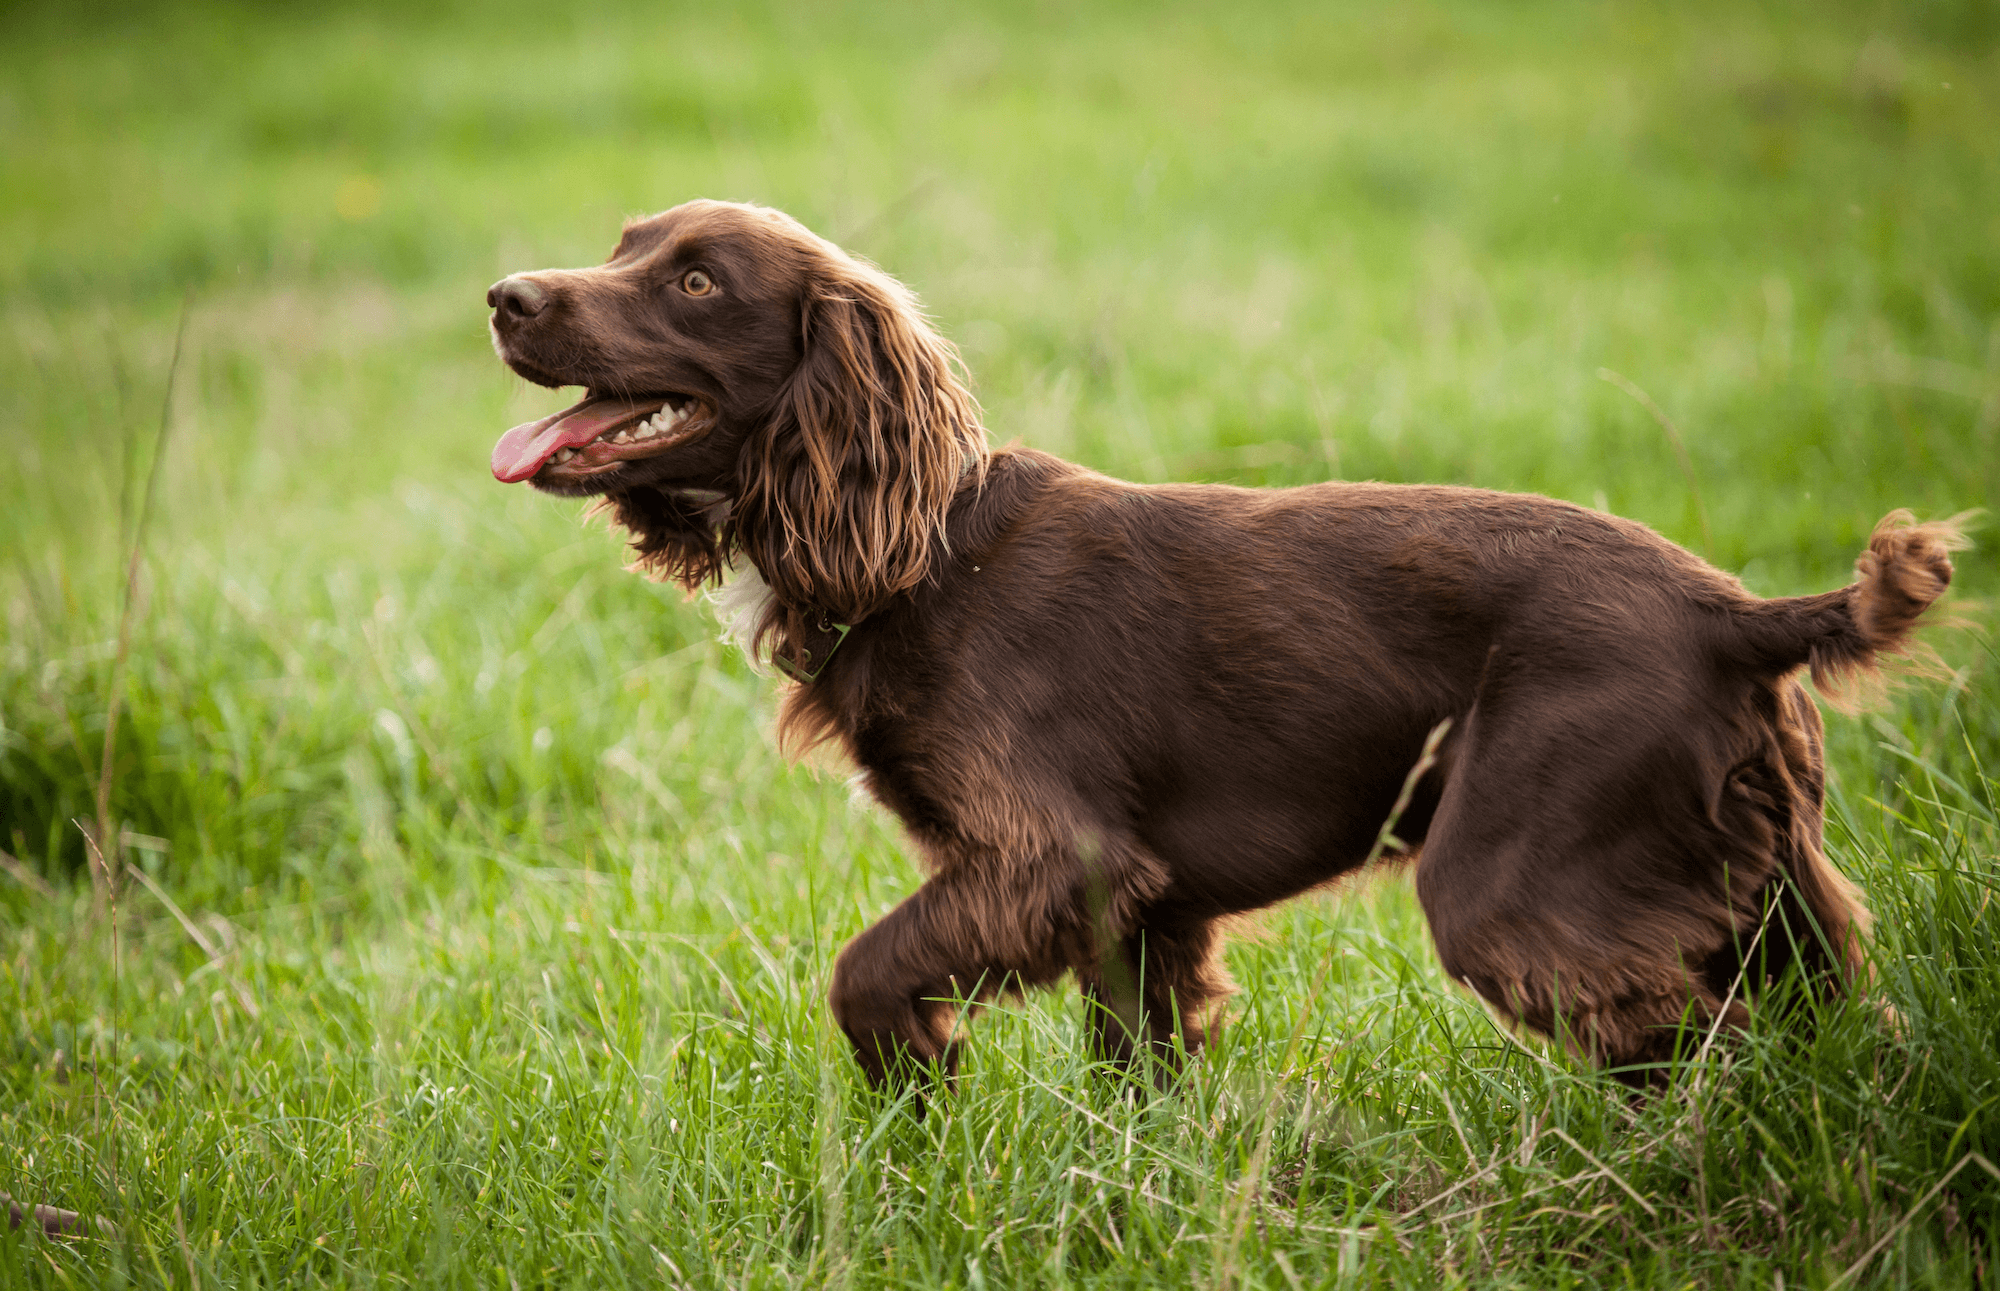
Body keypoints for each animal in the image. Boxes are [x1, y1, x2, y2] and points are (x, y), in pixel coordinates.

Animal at [492, 199, 1960, 1095]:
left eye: (693, 279)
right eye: (623, 243)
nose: (502, 295)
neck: (923, 549)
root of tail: (1735, 612)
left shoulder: (1051, 856)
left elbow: (862, 970)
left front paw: (923, 1088)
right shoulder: (1141, 910)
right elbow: (1133, 1075)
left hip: (1517, 883)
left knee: (1698, 1050)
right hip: (1771, 888)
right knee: (1827, 1030)